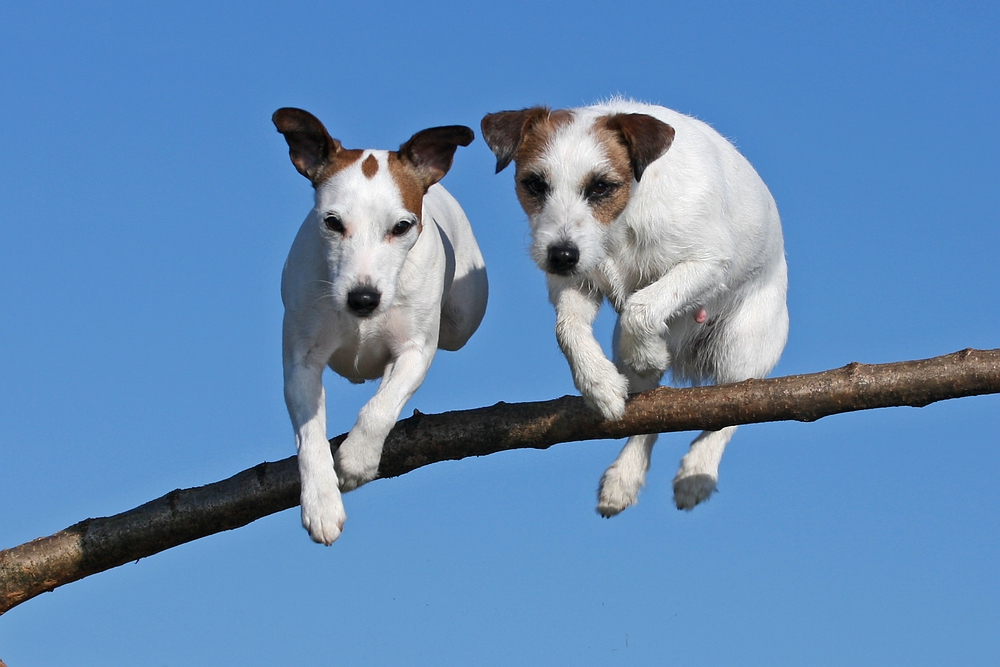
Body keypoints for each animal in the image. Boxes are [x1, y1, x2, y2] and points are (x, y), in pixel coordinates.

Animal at [278, 108, 488, 544]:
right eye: (332, 222)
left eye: (402, 226)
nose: (363, 299)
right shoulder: (301, 361)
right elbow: (310, 433)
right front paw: (321, 503)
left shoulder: (414, 351)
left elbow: (381, 407)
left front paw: (357, 459)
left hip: (463, 317)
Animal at [484, 99, 788, 516]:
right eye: (534, 184)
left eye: (601, 186)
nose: (560, 256)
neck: (623, 220)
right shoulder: (576, 282)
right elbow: (567, 329)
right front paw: (599, 383)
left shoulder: (708, 263)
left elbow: (641, 305)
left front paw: (647, 354)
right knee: (651, 416)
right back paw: (623, 478)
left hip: (742, 349)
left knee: (730, 414)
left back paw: (696, 473)